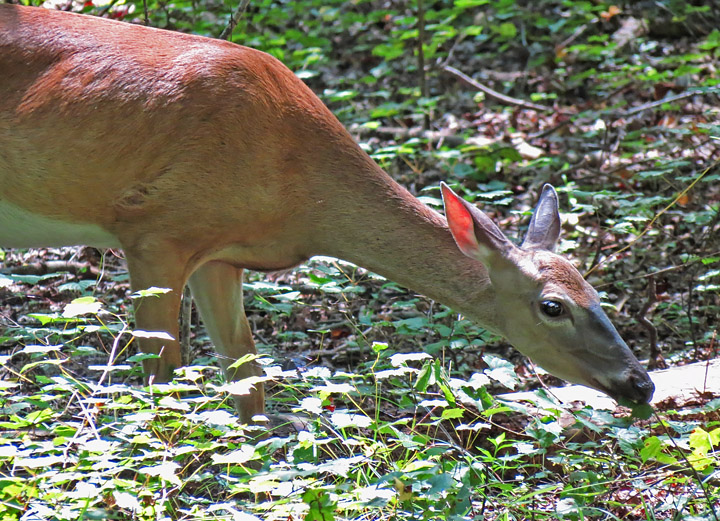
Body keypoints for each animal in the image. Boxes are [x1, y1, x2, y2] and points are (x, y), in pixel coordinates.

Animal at [0, 6, 652, 424]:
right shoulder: (153, 231)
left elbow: (247, 379)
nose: (640, 383)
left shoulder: (220, 254)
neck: (297, 189)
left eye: (598, 294)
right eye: (553, 307)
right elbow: (161, 374)